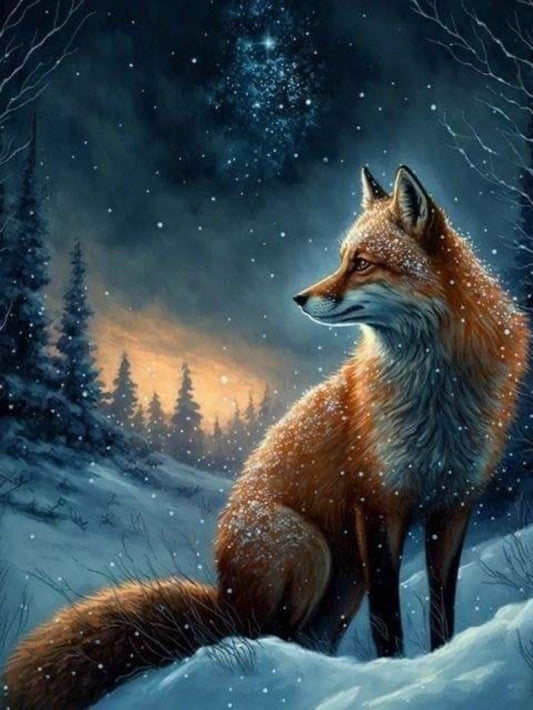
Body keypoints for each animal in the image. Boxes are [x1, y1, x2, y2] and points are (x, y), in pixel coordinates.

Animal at [5, 165, 529, 710]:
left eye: (361, 263)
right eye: (342, 259)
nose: (300, 298)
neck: (437, 392)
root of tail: (226, 594)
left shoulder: (454, 504)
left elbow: (442, 610)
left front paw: (438, 660)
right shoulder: (378, 503)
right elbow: (388, 621)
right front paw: (393, 673)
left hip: (344, 585)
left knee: (301, 638)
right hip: (309, 552)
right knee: (260, 636)